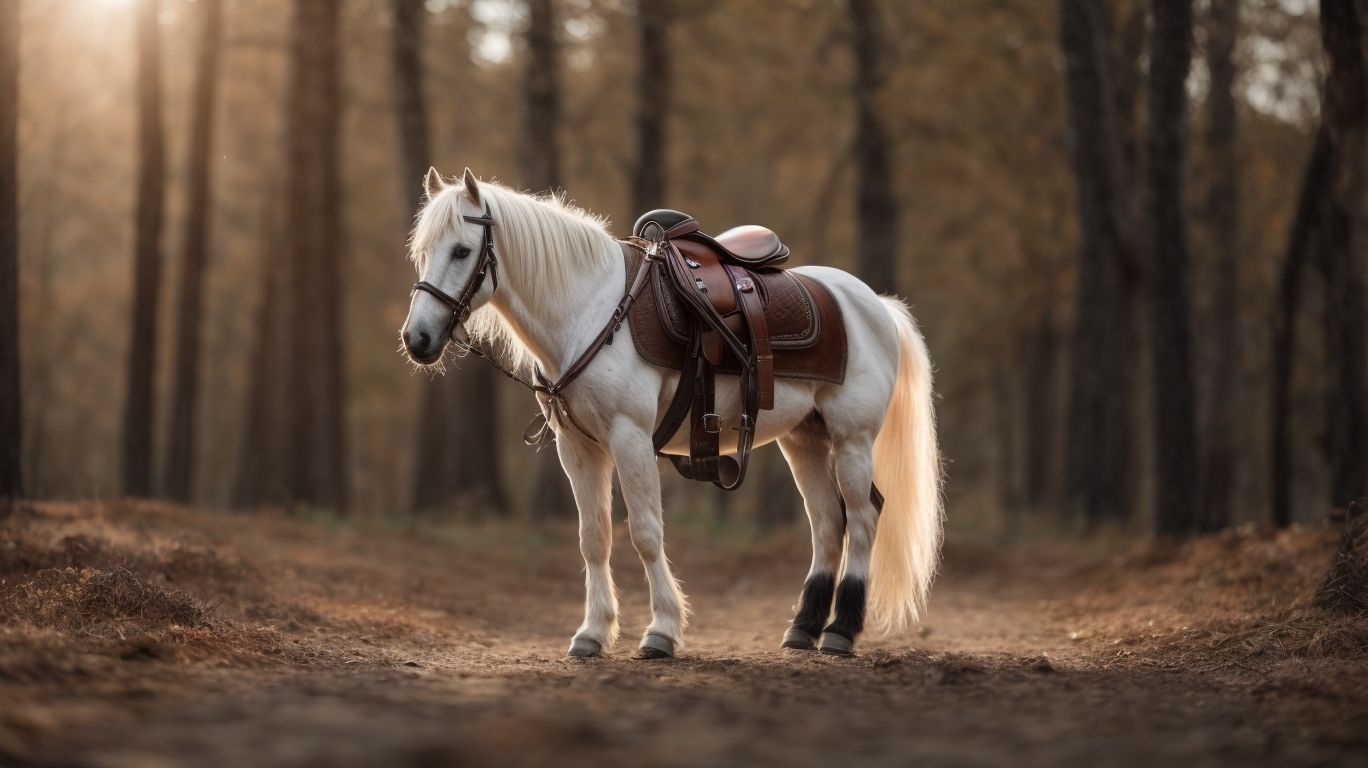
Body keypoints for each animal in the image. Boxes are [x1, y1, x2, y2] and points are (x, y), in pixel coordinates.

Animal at [398, 167, 943, 659]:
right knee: (828, 521)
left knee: (862, 518)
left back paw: (840, 632)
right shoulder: (577, 447)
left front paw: (660, 631)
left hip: (852, 439)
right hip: (804, 440)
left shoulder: (630, 438)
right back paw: (804, 628)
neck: (590, 313)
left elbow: (644, 533)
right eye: (421, 252)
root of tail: (875, 304)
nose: (417, 338)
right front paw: (592, 633)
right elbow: (593, 539)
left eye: (462, 250)